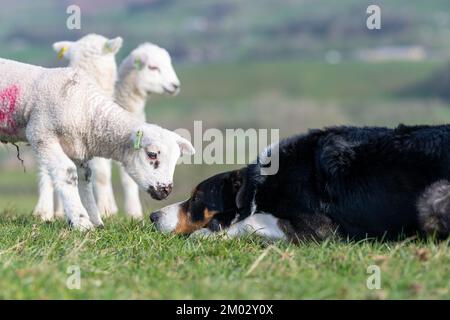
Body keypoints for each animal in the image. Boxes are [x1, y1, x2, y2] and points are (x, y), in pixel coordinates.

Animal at [0, 57, 193, 230]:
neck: (88, 111)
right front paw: (81, 222)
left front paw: (95, 220)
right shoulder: (41, 134)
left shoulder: (76, 146)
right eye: (152, 154)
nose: (166, 190)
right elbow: (67, 172)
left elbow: (86, 177)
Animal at [151, 125, 450, 242]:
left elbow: (252, 220)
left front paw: (208, 233)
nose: (154, 216)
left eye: (197, 198)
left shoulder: (322, 229)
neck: (260, 186)